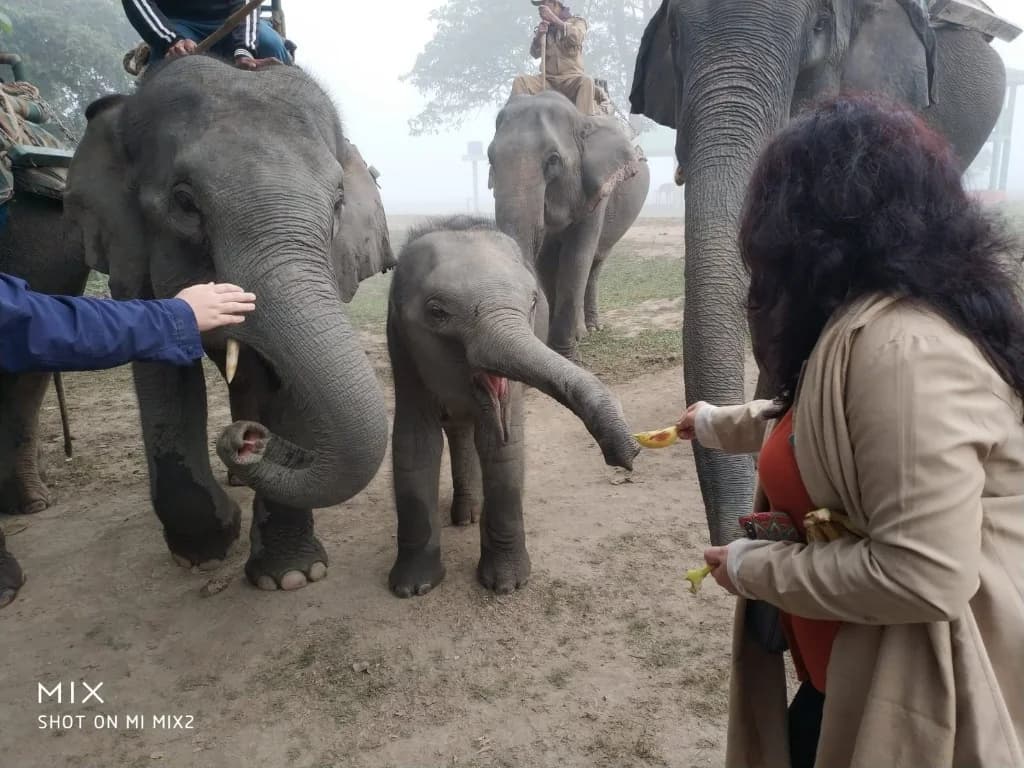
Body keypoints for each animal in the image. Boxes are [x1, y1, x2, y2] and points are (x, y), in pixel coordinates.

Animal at [59, 55, 394, 591]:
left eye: (338, 204)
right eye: (184, 202)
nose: (247, 439)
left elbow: (285, 386)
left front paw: (292, 576)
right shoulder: (131, 265)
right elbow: (164, 378)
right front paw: (205, 552)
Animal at [385, 216, 640, 597]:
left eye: (533, 302)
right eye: (436, 312)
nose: (628, 455)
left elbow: (502, 447)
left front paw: (506, 585)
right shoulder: (402, 351)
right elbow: (415, 445)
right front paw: (413, 588)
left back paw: (470, 514)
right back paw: (465, 515)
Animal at [488, 90, 651, 361]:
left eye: (553, 160)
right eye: (490, 158)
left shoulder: (598, 189)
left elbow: (576, 258)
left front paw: (568, 356)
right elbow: (545, 262)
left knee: (595, 263)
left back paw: (590, 329)